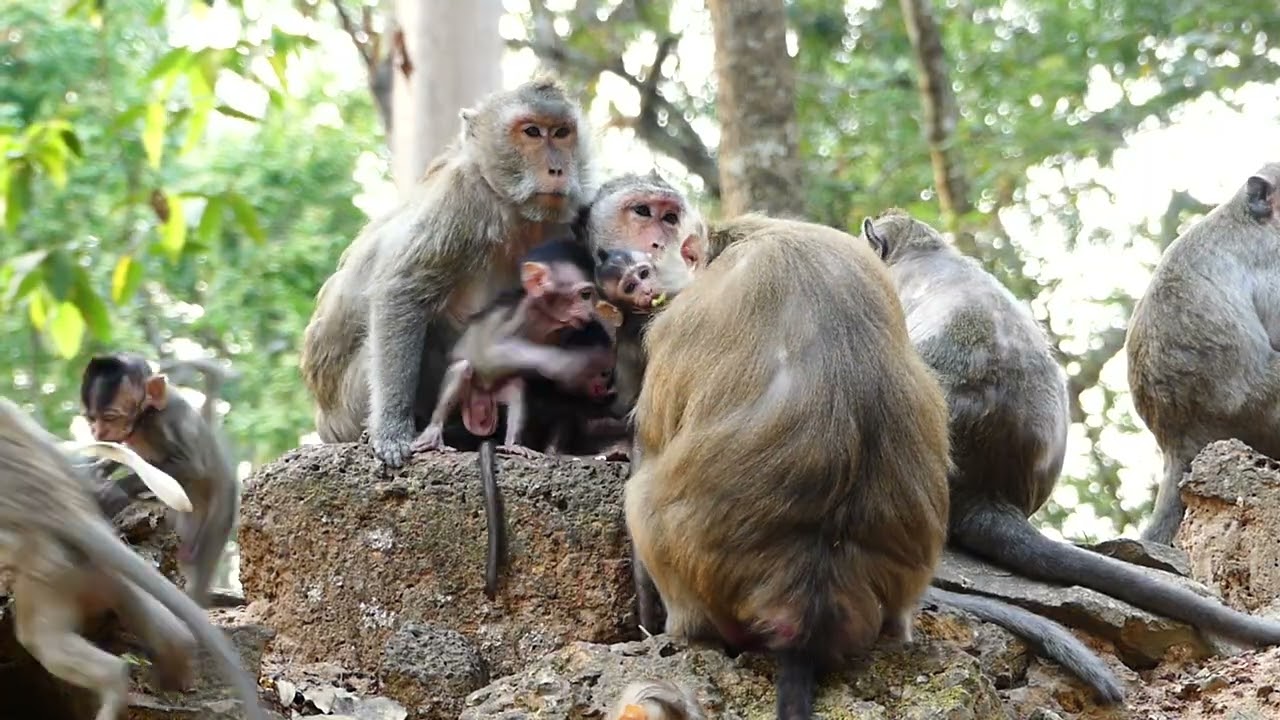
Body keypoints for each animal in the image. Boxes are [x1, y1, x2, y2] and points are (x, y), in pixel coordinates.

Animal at [0, 396, 266, 720]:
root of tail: (71, 516)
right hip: (95, 572)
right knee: (162, 623)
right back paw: (176, 668)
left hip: (51, 570)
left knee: (41, 637)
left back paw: (115, 681)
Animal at [81, 354, 240, 608]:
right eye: (91, 419)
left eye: (110, 417)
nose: (98, 432)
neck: (144, 417)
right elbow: (120, 453)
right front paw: (96, 468)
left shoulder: (167, 421)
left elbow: (191, 466)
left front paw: (114, 488)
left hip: (218, 516)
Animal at [298, 77, 594, 468]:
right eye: (531, 131)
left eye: (561, 133)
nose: (558, 170)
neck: (513, 209)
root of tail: (324, 422)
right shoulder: (461, 198)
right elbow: (402, 291)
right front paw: (392, 431)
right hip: (350, 404)